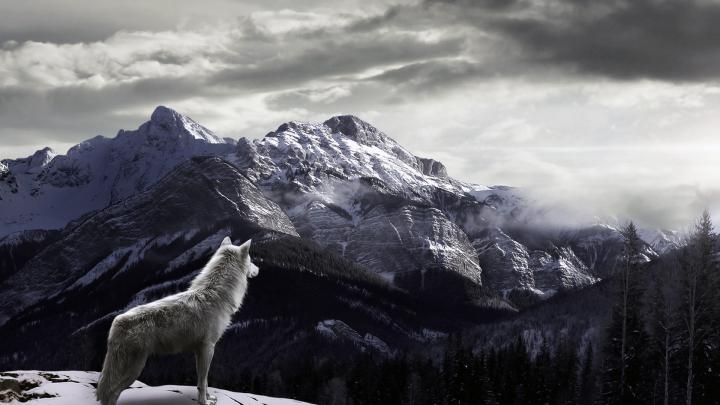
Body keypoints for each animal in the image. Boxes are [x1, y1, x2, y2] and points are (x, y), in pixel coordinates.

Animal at [96, 237, 259, 405]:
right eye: (251, 260)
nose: (258, 269)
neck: (216, 294)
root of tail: (117, 321)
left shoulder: (199, 351)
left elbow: (203, 381)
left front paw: (208, 397)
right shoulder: (208, 348)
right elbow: (203, 381)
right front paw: (204, 402)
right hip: (134, 370)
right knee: (111, 392)